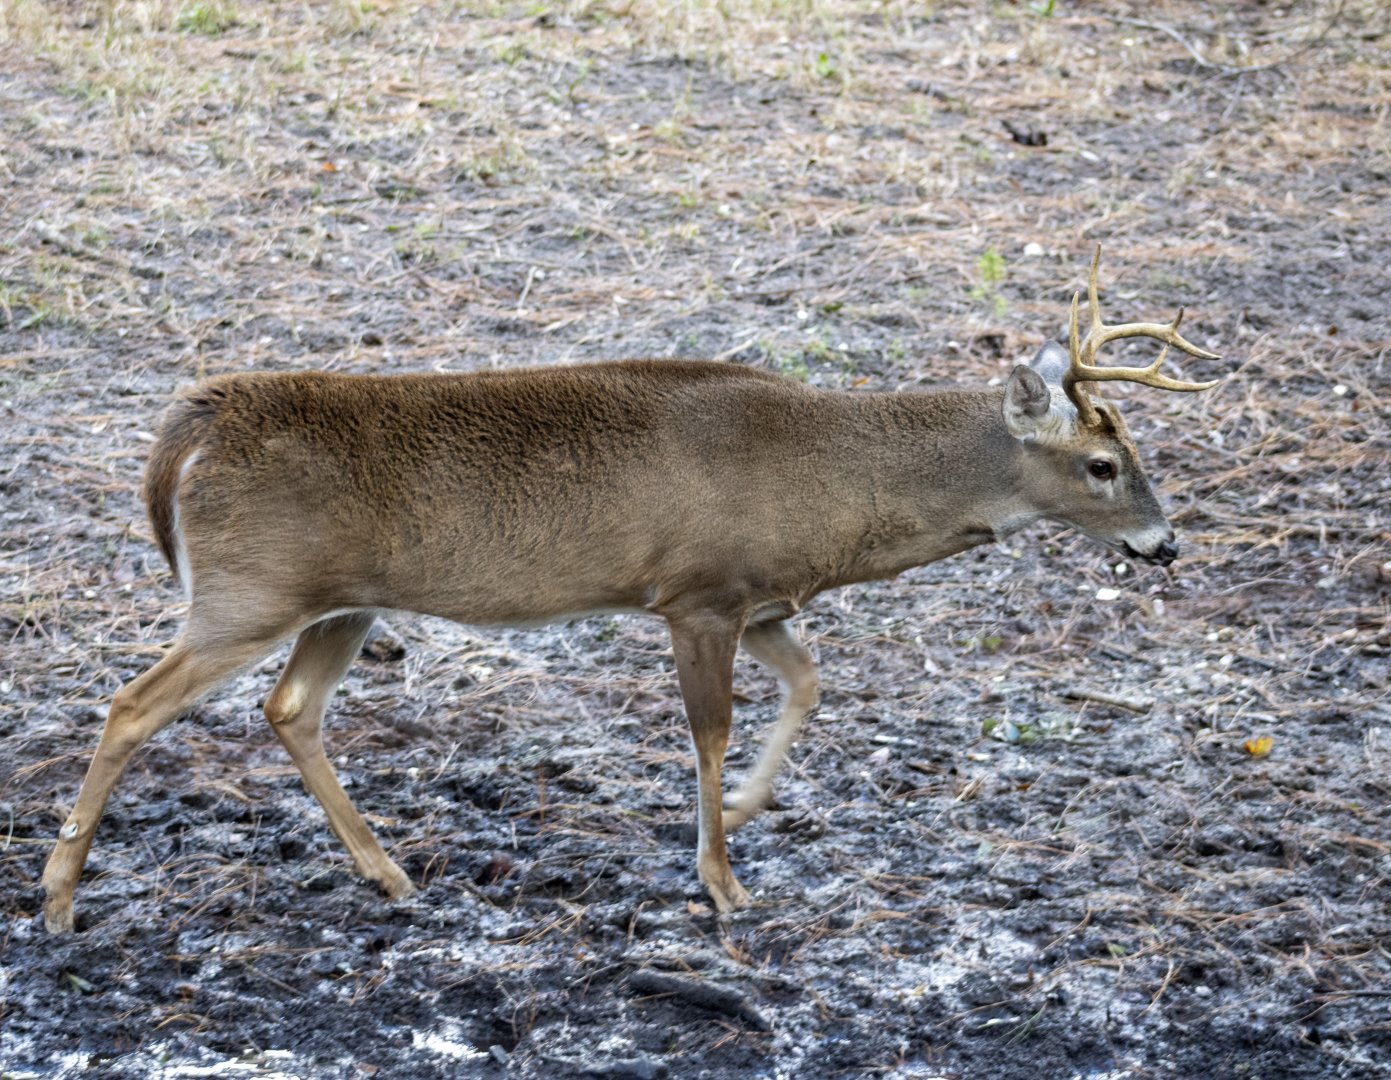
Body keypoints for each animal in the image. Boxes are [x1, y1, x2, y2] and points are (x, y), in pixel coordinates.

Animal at [40, 248, 1220, 932]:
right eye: (1102, 465)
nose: (1163, 546)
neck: (834, 488)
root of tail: (191, 425)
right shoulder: (694, 592)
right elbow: (707, 730)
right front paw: (721, 880)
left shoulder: (762, 599)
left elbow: (809, 685)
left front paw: (740, 814)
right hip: (248, 591)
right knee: (133, 703)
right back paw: (56, 900)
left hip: (337, 600)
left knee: (288, 709)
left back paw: (391, 877)